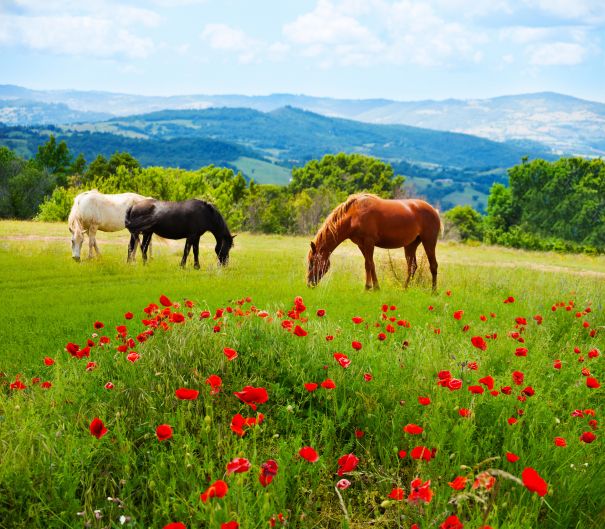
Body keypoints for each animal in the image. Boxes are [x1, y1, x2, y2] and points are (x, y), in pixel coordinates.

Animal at [310, 194, 442, 290]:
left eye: (312, 262)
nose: (309, 283)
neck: (354, 215)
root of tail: (434, 211)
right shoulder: (361, 245)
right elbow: (370, 264)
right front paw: (373, 287)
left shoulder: (369, 242)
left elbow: (369, 264)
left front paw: (370, 287)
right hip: (411, 245)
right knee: (412, 266)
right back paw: (405, 289)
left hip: (429, 241)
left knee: (433, 265)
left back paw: (434, 291)